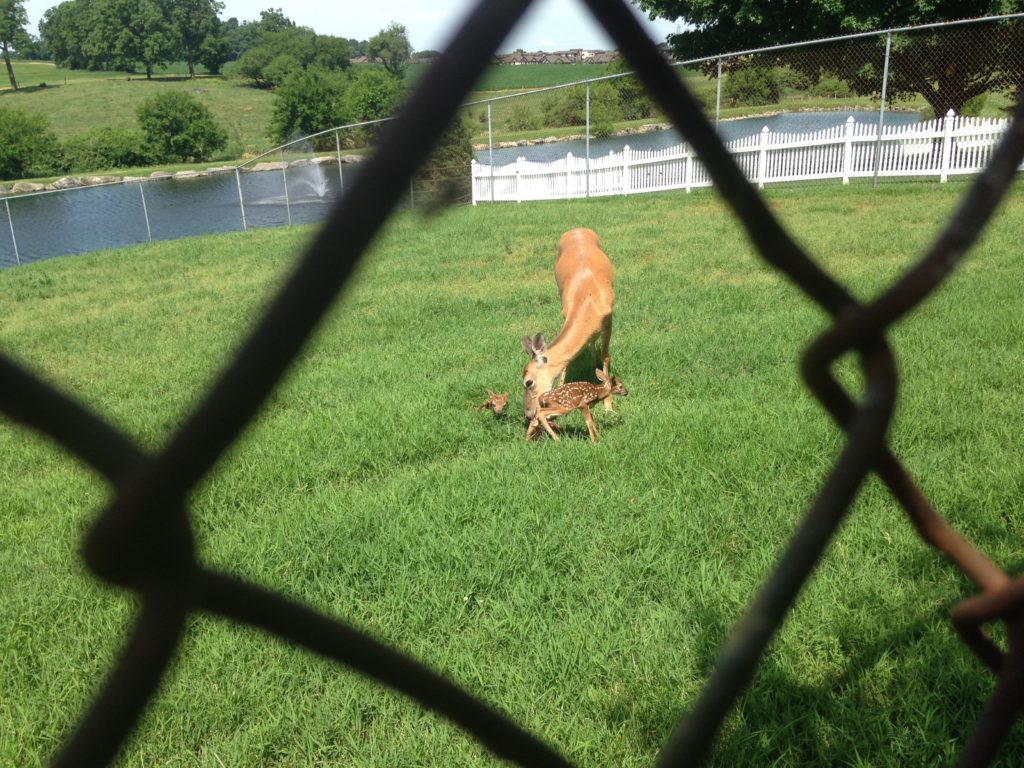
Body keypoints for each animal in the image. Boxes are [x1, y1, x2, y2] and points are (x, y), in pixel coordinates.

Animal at [524, 228, 610, 421]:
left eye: (528, 382)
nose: (527, 414)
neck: (588, 300)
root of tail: (577, 229)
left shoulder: (609, 317)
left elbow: (606, 357)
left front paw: (609, 406)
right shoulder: (565, 312)